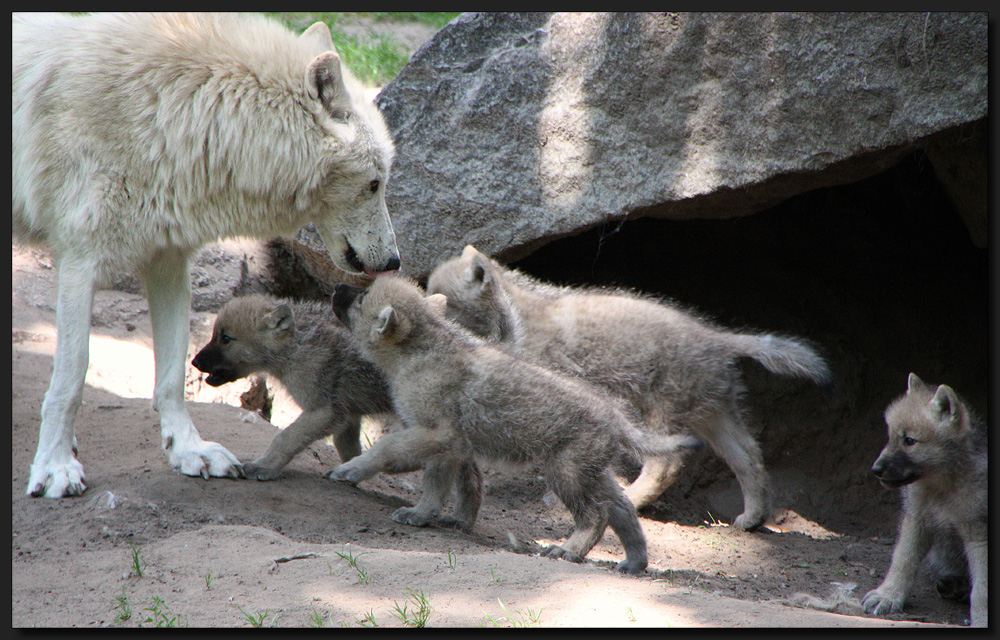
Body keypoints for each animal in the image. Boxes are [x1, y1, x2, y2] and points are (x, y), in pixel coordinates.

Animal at [13, 12, 400, 498]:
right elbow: (70, 379)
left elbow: (173, 375)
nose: (394, 262)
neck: (165, 118)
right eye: (375, 183)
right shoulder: (79, 262)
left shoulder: (168, 261)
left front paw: (188, 452)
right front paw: (55, 467)